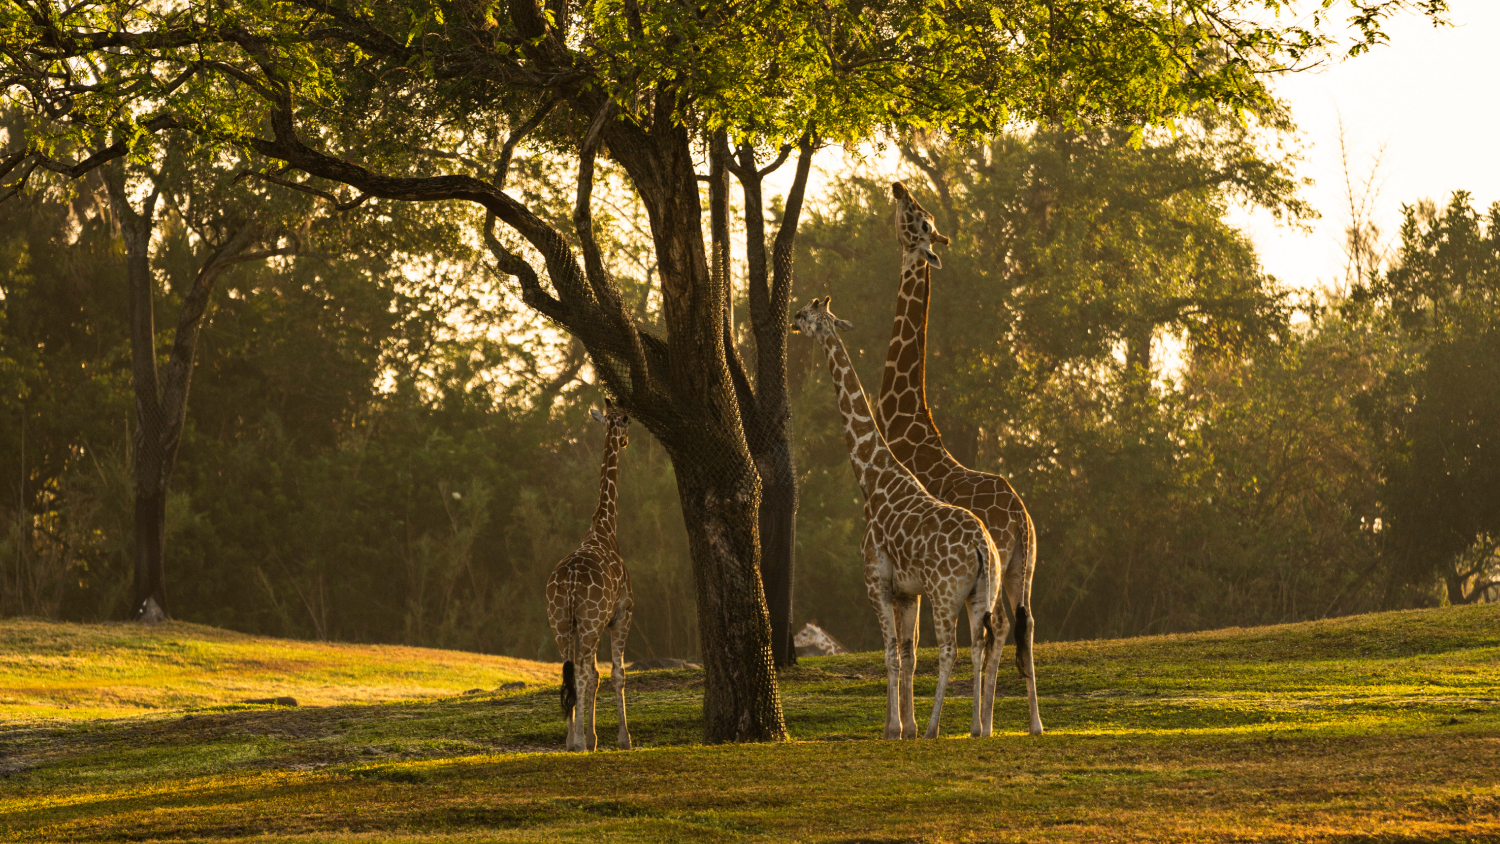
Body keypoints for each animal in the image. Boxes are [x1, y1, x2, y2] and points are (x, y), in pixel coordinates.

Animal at [545, 399, 635, 752]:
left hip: (560, 620)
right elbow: (616, 673)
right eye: (626, 421)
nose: (625, 441)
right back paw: (579, 742)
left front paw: (593, 736)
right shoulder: (622, 613)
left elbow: (595, 675)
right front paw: (623, 739)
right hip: (590, 620)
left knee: (570, 668)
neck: (605, 528)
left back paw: (572, 739)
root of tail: (569, 583)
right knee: (582, 670)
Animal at [793, 296, 1005, 739]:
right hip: (981, 591)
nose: (792, 321)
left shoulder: (876, 578)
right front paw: (905, 724)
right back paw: (977, 728)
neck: (873, 481)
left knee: (950, 649)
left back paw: (934, 728)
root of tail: (982, 546)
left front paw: (894, 727)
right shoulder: (909, 591)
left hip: (946, 593)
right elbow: (908, 654)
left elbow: (891, 652)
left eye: (809, 312)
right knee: (980, 645)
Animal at [879, 181, 1044, 736]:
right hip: (1021, 568)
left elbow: (907, 644)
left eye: (920, 219)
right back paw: (1024, 724)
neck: (906, 424)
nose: (899, 185)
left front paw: (904, 726)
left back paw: (980, 722)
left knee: (991, 632)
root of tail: (1019, 517)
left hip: (989, 572)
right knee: (1021, 627)